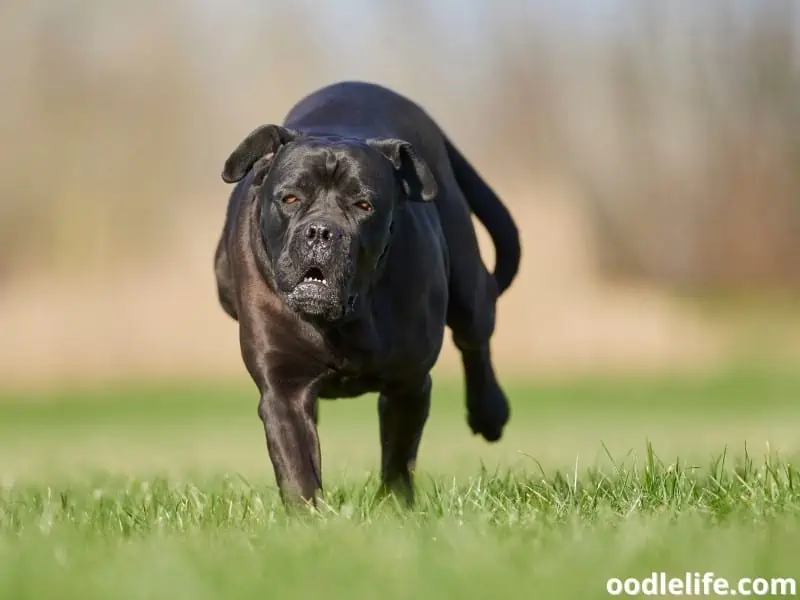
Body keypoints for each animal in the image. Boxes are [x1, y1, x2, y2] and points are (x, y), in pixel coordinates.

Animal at [216, 81, 520, 506]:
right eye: (290, 198)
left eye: (364, 205)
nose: (321, 232)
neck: (343, 320)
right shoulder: (283, 387)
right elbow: (296, 464)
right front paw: (308, 513)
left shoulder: (409, 382)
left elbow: (398, 456)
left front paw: (394, 506)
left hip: (467, 280)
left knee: (475, 335)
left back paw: (489, 412)